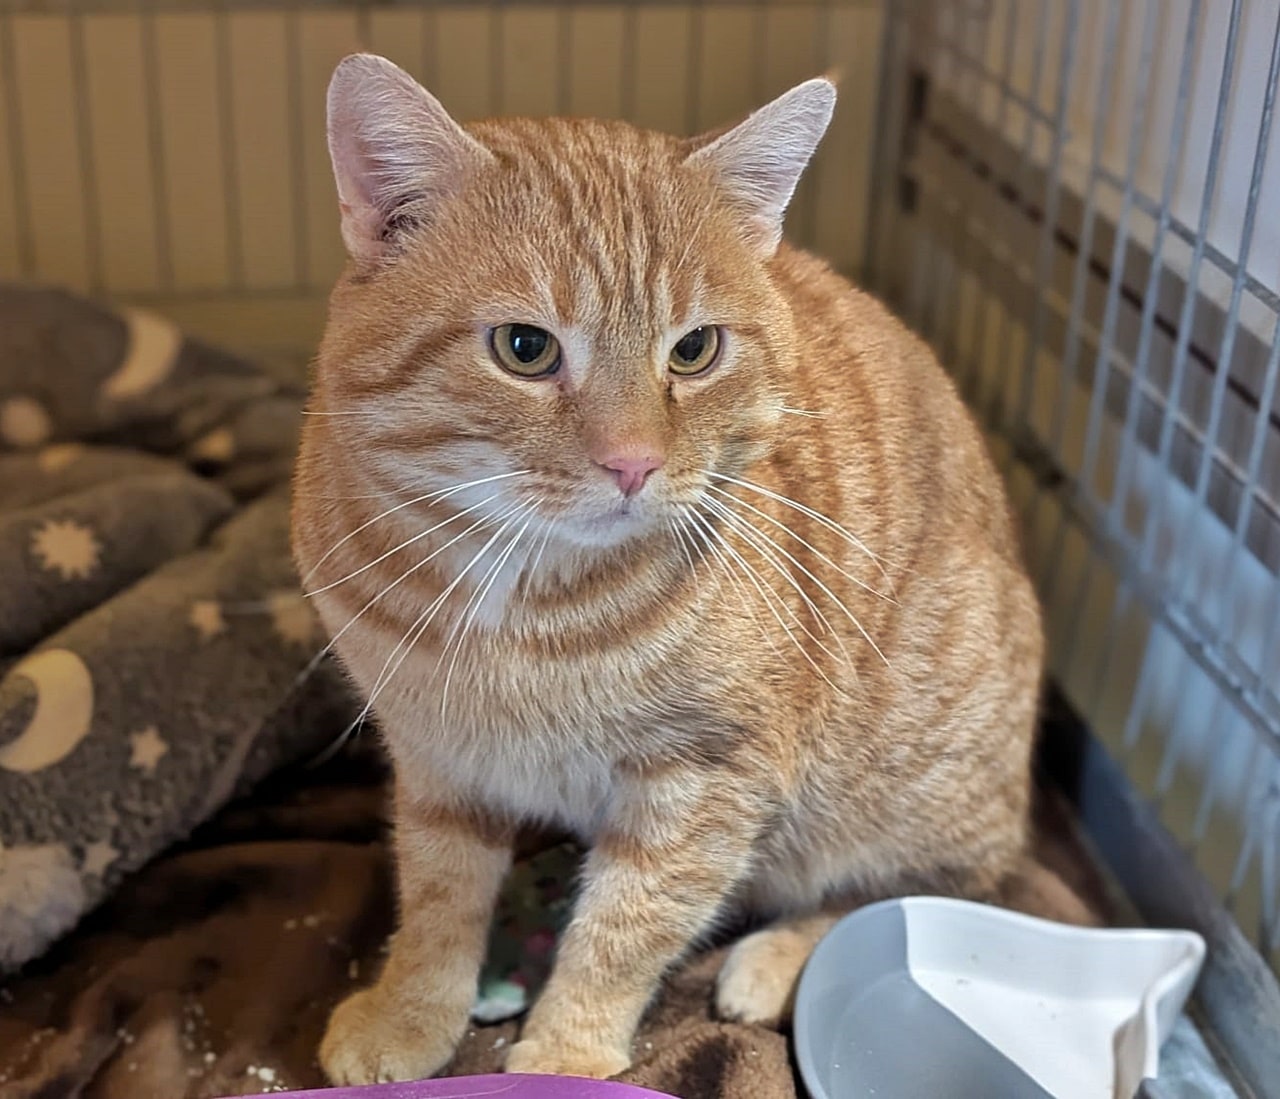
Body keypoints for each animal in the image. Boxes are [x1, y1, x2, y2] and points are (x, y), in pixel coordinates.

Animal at [292, 53, 1087, 1086]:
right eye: (525, 347)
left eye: (695, 349)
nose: (635, 464)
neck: (523, 594)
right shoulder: (437, 758)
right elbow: (435, 897)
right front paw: (409, 1014)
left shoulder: (706, 777)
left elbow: (626, 925)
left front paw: (563, 1055)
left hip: (909, 790)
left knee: (920, 896)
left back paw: (774, 963)